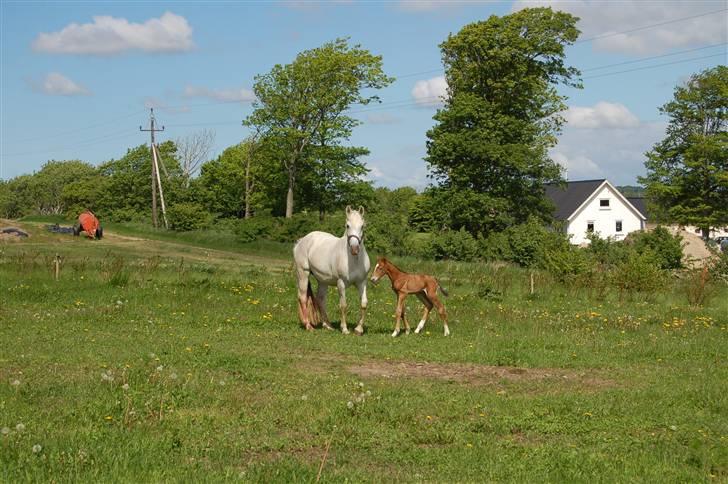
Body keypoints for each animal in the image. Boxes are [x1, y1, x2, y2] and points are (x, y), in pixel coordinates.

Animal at [292, 206, 370, 334]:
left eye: (362, 226)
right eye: (347, 225)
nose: (354, 249)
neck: (353, 261)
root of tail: (301, 240)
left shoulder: (362, 283)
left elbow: (364, 303)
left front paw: (358, 329)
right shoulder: (341, 283)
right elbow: (343, 305)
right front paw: (344, 329)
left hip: (323, 280)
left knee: (320, 299)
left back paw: (327, 325)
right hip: (303, 273)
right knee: (302, 297)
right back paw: (308, 325)